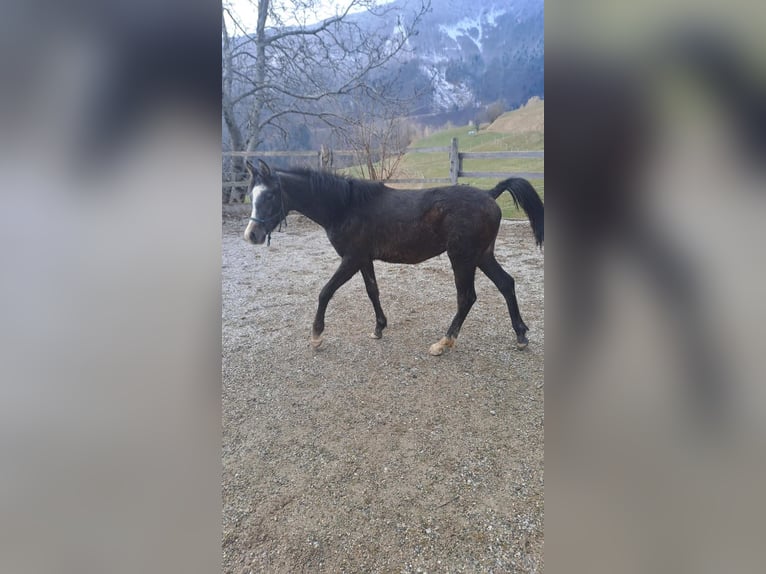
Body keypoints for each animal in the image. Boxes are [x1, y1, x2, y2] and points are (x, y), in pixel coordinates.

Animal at [243, 159, 544, 356]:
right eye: (252, 195)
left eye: (269, 195)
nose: (252, 235)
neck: (345, 205)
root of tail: (490, 194)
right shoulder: (364, 260)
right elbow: (372, 291)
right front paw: (379, 328)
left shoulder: (351, 259)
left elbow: (325, 292)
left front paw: (317, 336)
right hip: (482, 255)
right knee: (506, 284)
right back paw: (520, 335)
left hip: (462, 258)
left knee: (467, 297)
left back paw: (444, 343)